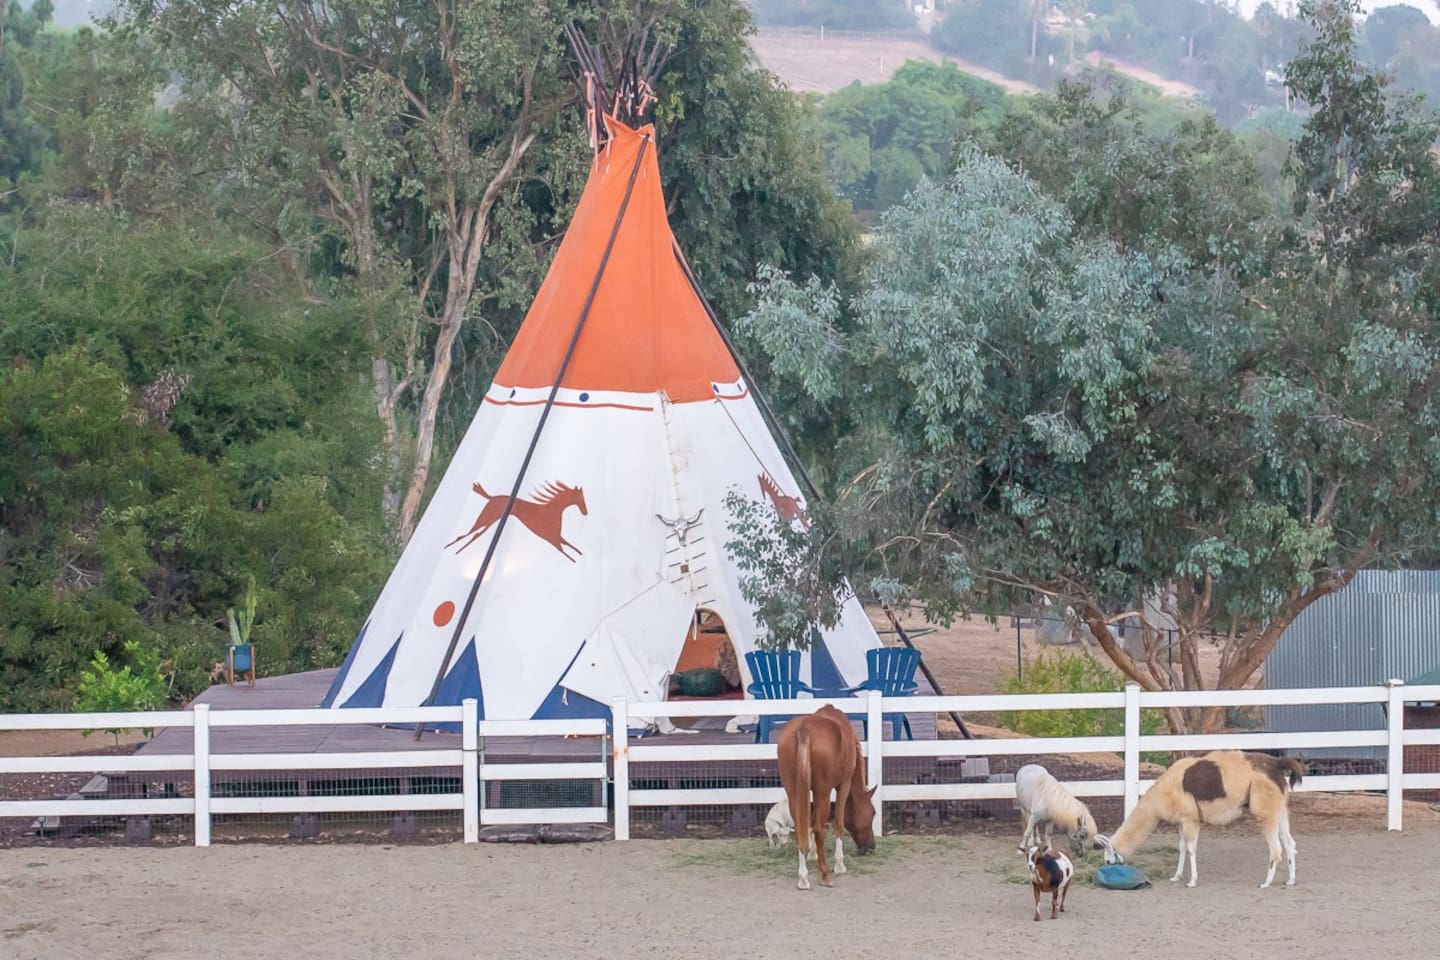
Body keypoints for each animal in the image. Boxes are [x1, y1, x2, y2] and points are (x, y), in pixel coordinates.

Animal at [446, 483, 587, 558]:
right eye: (581, 498)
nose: (586, 512)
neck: (553, 510)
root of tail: (491, 497)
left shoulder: (556, 537)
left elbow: (569, 547)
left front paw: (579, 554)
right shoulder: (552, 538)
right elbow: (565, 551)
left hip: (489, 522)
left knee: (474, 535)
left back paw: (455, 549)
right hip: (486, 519)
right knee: (469, 534)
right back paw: (451, 547)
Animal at [777, 702, 875, 892]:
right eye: (873, 813)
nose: (871, 847)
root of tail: (804, 729)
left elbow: (808, 821)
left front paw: (812, 853)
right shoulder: (843, 785)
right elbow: (838, 823)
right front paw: (839, 864)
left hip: (793, 792)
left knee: (801, 826)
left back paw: (803, 877)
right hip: (823, 791)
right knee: (818, 828)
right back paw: (825, 875)